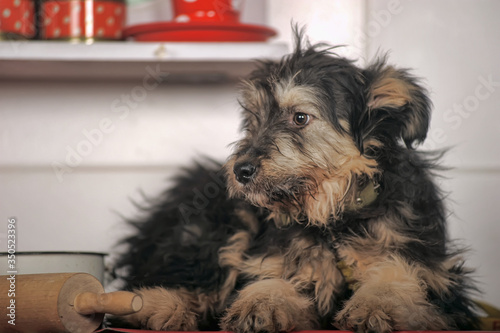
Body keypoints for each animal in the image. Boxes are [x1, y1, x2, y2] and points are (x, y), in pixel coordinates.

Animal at [111, 31, 478, 332]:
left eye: (300, 117)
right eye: (254, 121)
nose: (240, 171)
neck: (332, 219)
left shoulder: (434, 273)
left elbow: (400, 275)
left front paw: (380, 304)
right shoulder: (270, 259)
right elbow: (272, 279)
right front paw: (262, 303)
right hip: (214, 226)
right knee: (187, 278)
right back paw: (152, 306)